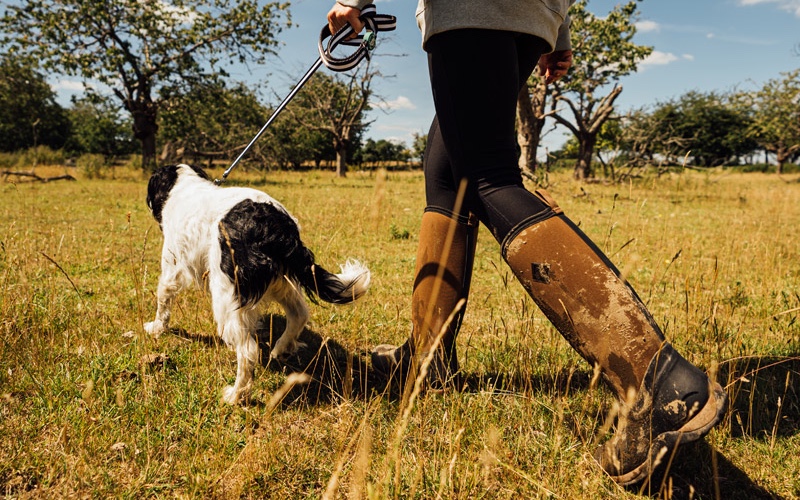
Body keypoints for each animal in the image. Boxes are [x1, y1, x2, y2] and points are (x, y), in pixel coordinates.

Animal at [145, 166, 370, 404]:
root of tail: (276, 227)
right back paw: (282, 348)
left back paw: (236, 395)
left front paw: (156, 328)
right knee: (299, 314)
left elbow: (163, 300)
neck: (184, 185)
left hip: (226, 294)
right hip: (283, 283)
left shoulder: (171, 268)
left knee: (247, 351)